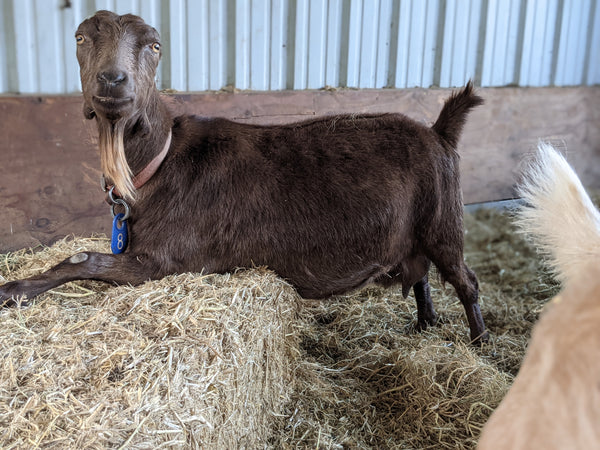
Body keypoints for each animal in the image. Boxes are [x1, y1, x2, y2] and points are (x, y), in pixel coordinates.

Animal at [0, 9, 488, 342]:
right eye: (80, 37)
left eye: (155, 46)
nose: (112, 80)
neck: (159, 161)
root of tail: (439, 131)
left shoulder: (165, 261)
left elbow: (80, 259)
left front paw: (14, 288)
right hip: (415, 234)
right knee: (421, 274)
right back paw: (425, 324)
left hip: (444, 220)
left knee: (465, 280)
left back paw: (480, 341)